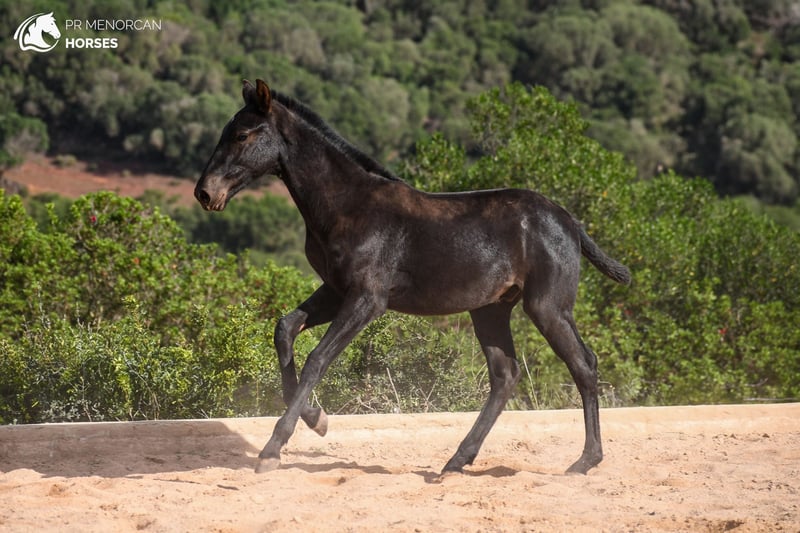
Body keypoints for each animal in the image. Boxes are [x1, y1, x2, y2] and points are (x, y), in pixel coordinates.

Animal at [194, 79, 631, 476]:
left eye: (242, 134)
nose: (204, 193)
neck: (347, 205)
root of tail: (569, 222)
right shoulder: (336, 290)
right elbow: (285, 329)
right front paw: (317, 419)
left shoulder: (367, 299)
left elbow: (317, 358)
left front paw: (273, 449)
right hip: (490, 310)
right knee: (505, 376)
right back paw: (456, 461)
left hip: (547, 306)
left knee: (583, 364)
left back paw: (585, 461)